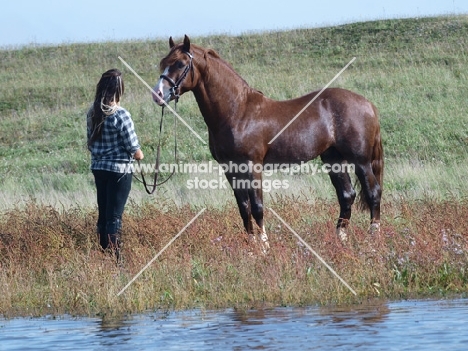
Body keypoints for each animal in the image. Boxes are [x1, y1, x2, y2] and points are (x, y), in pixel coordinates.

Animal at [154, 35, 384, 245]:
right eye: (163, 63)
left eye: (180, 63)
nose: (157, 95)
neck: (238, 112)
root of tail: (368, 104)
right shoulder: (230, 169)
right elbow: (243, 208)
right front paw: (251, 248)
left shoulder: (252, 165)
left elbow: (257, 207)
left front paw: (264, 247)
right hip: (333, 159)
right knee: (346, 195)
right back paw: (340, 240)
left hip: (360, 161)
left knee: (373, 192)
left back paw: (373, 239)